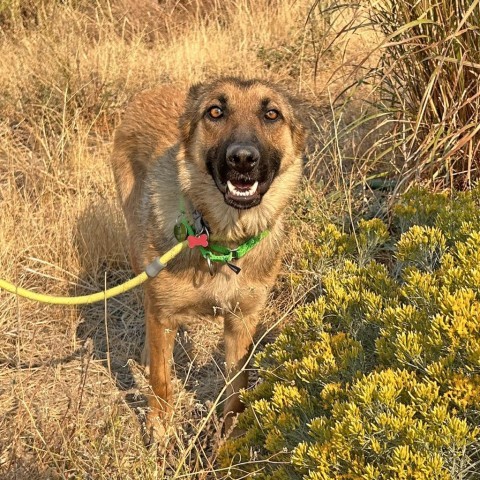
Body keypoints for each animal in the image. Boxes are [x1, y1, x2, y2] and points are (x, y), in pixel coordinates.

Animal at [110, 76, 308, 438]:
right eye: (215, 112)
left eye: (271, 114)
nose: (242, 159)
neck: (223, 240)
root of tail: (154, 90)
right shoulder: (164, 316)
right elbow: (161, 380)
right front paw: (159, 426)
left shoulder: (242, 323)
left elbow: (237, 385)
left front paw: (232, 434)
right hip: (138, 255)